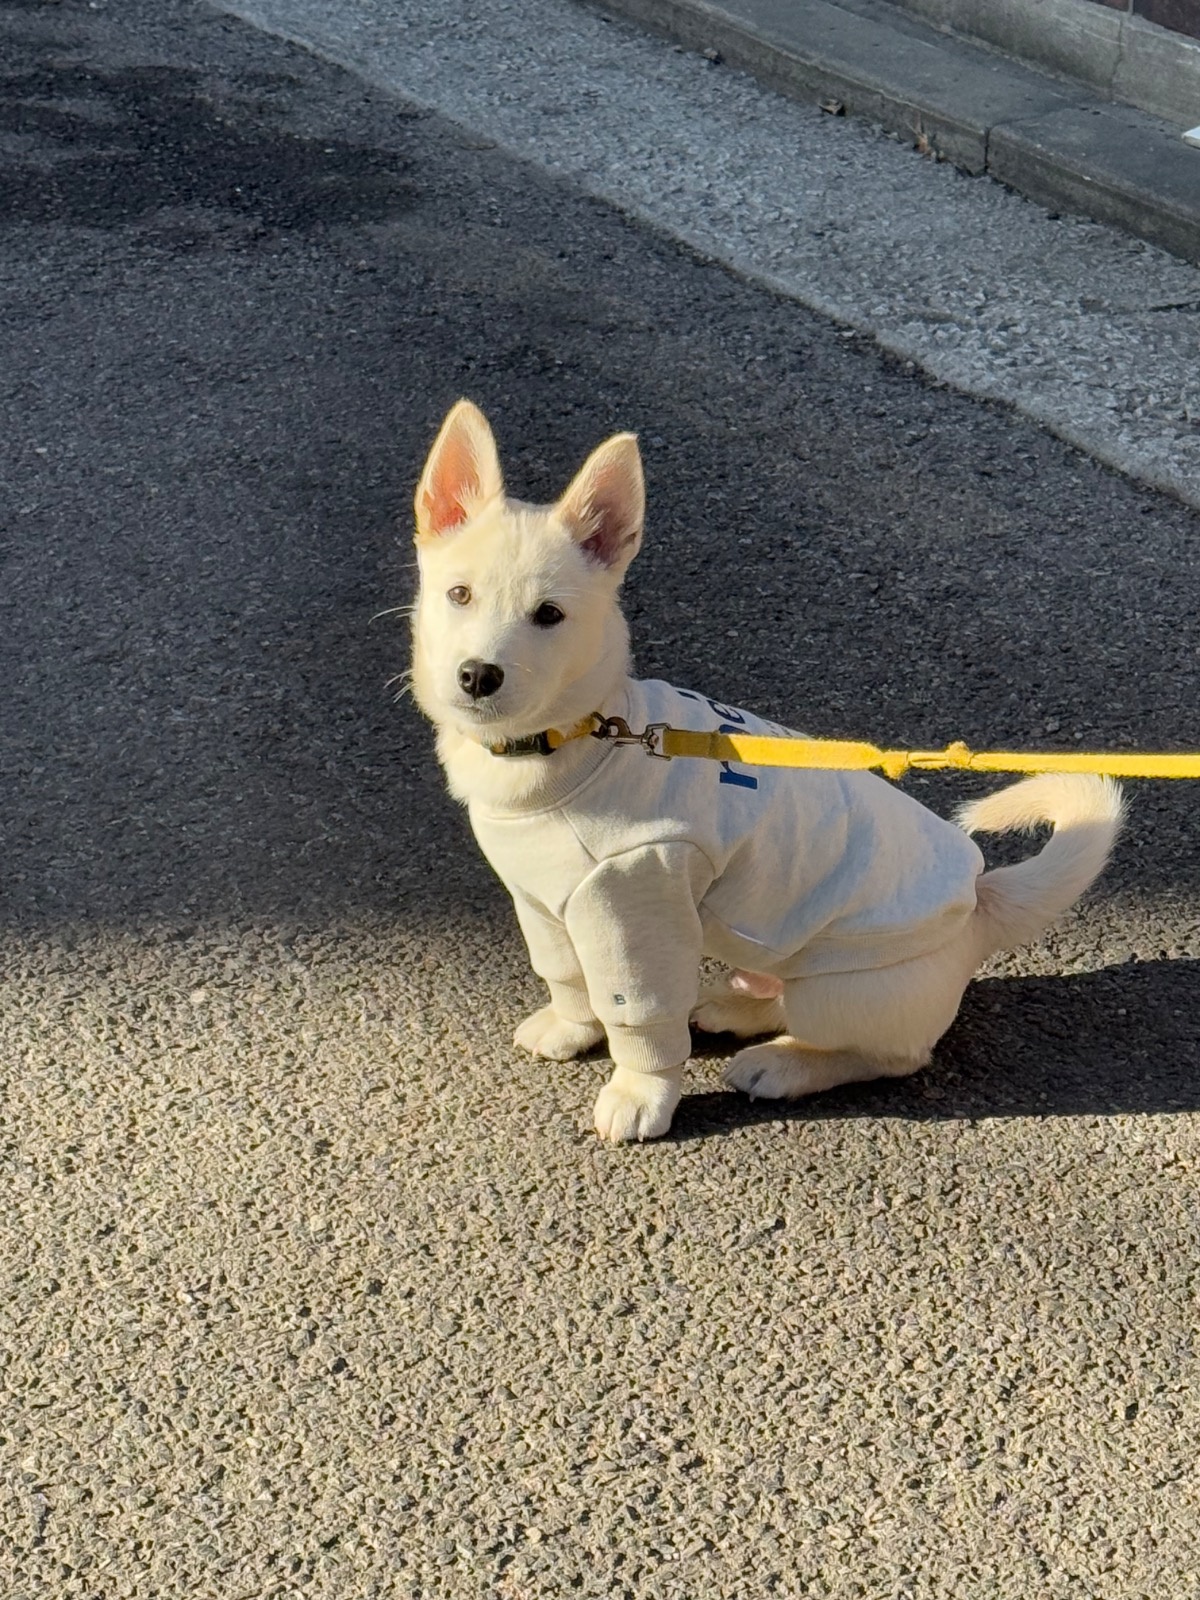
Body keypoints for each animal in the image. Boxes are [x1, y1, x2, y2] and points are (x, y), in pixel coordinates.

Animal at [412, 406, 1126, 1145]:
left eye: (549, 615)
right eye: (459, 594)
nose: (477, 675)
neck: (576, 739)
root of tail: (981, 904)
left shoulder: (636, 909)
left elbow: (641, 1016)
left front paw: (642, 1094)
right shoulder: (543, 902)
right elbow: (565, 975)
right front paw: (570, 1027)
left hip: (844, 987)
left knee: (889, 1053)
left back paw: (786, 1064)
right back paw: (739, 1009)